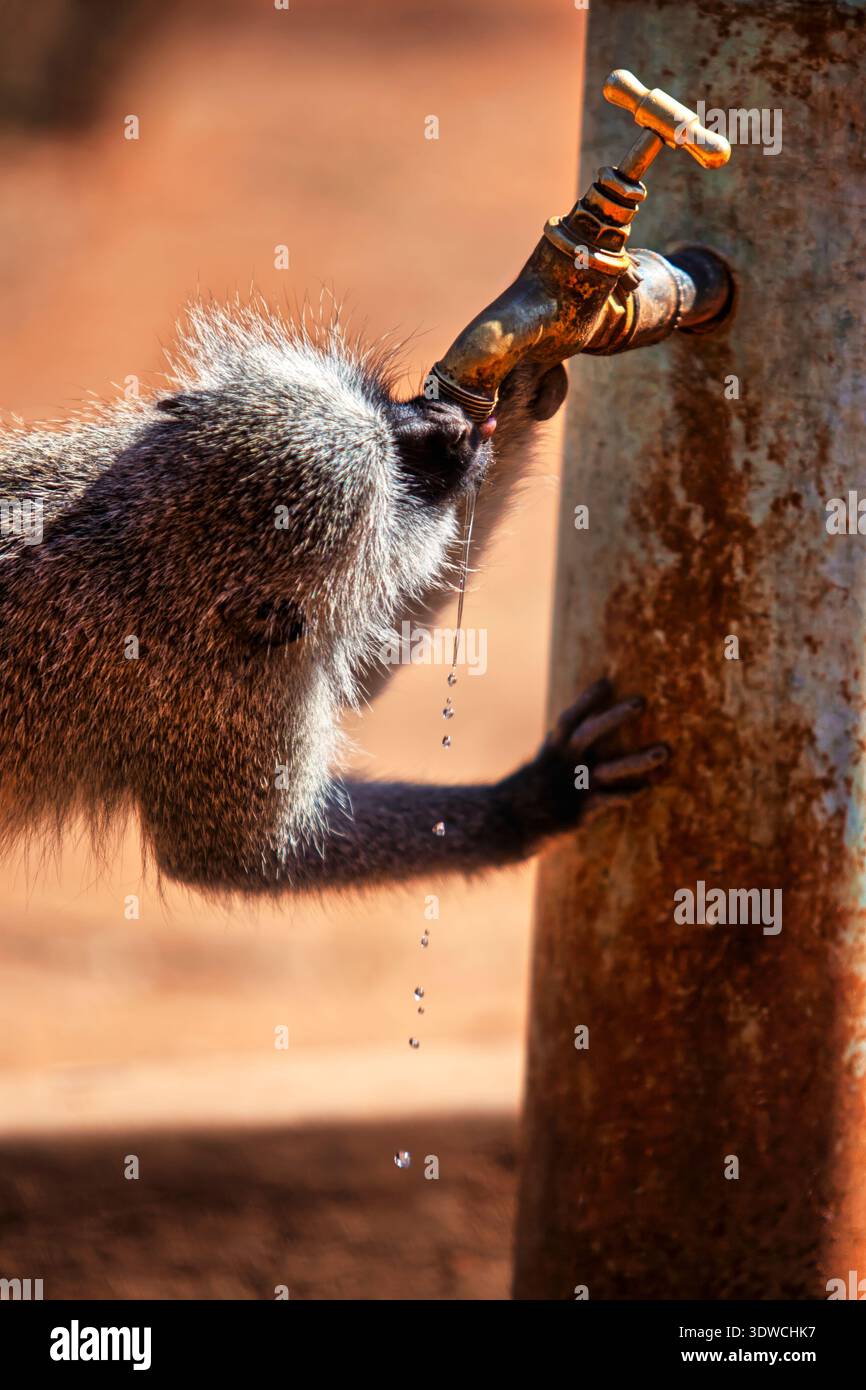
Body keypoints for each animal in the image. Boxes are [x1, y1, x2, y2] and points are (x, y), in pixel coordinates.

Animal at [0, 300, 668, 896]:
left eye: (396, 429)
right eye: (407, 481)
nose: (449, 426)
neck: (139, 552)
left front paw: (524, 373)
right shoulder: (225, 704)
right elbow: (245, 860)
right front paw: (537, 799)